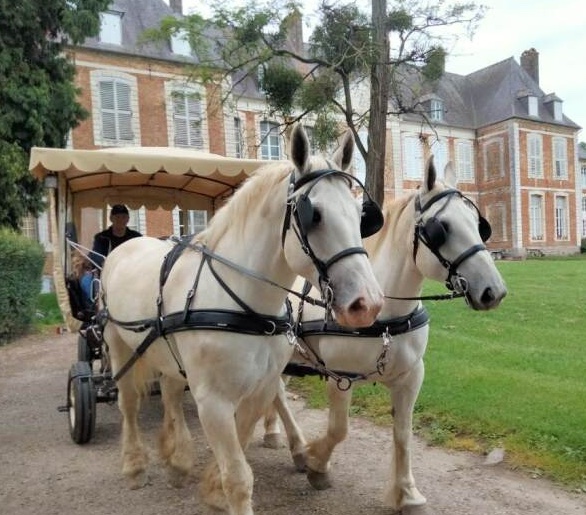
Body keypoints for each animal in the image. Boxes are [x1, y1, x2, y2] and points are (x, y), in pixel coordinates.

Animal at [99, 125, 384, 515]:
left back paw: (178, 460)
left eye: (360, 216)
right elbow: (239, 478)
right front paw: (222, 488)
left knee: (170, 393)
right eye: (314, 215)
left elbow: (242, 448)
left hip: (169, 356)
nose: (366, 304)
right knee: (128, 402)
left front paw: (212, 488)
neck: (248, 305)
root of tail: (124, 246)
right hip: (118, 345)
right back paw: (135, 465)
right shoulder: (213, 400)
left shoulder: (259, 389)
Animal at [264, 157, 506, 512]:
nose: (494, 291)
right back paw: (297, 447)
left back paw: (272, 433)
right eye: (442, 227)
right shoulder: (342, 376)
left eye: (479, 224)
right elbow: (339, 429)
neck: (386, 315)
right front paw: (316, 462)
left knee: (275, 391)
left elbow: (403, 434)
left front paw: (407, 492)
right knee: (278, 394)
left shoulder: (411, 376)